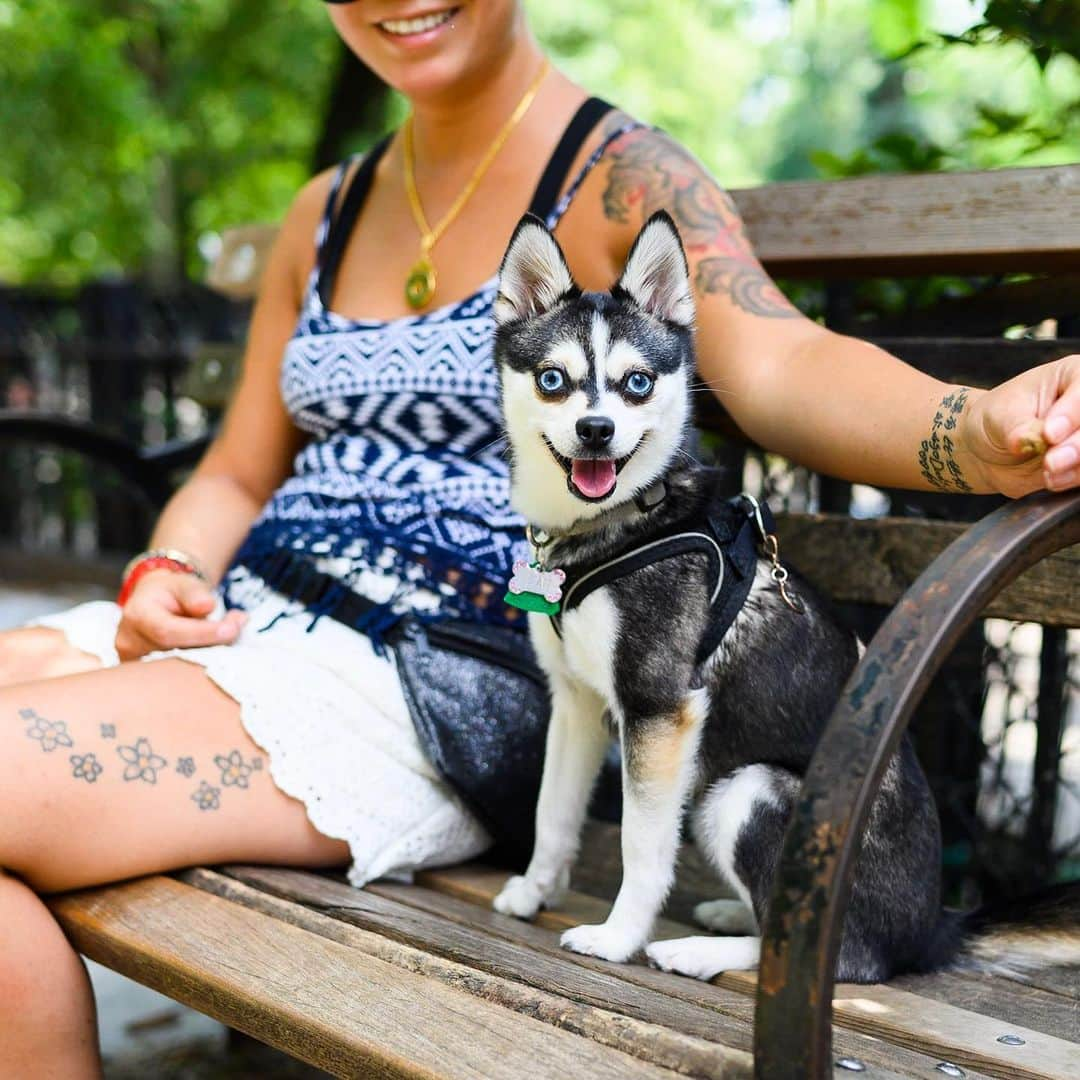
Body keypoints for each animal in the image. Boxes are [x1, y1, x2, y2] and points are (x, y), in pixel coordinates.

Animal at [492, 208, 1080, 980]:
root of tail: (928, 930)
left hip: (745, 792)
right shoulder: (579, 701)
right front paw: (535, 891)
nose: (597, 430)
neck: (625, 523)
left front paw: (619, 937)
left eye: (638, 384)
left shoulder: (660, 709)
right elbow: (553, 812)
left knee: (846, 956)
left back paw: (703, 950)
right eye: (554, 380)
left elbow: (641, 847)